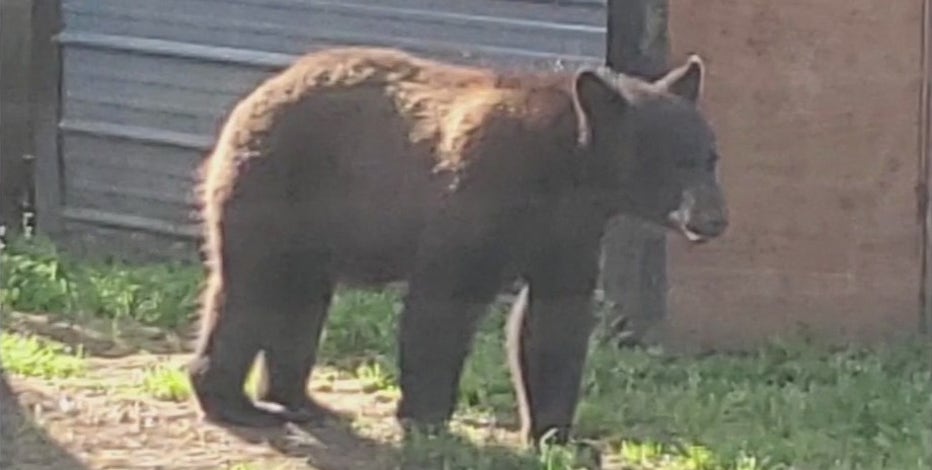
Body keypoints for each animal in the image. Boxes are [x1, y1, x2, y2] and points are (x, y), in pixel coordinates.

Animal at [187, 46, 728, 446]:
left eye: (709, 157)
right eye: (673, 162)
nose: (714, 220)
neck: (568, 169)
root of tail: (260, 91)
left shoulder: (569, 231)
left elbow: (555, 319)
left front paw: (556, 434)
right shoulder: (479, 193)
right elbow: (443, 304)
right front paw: (426, 420)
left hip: (314, 229)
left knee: (301, 302)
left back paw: (302, 400)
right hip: (277, 185)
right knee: (250, 290)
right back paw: (233, 402)